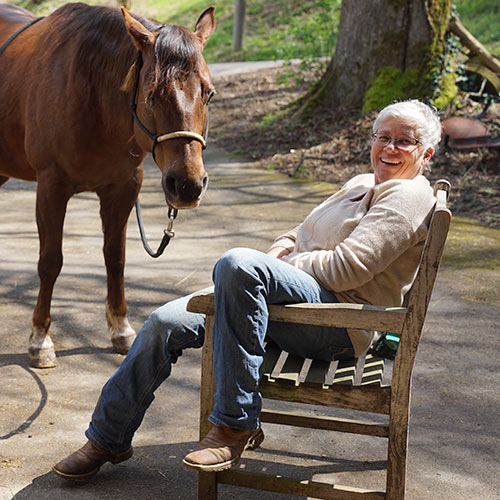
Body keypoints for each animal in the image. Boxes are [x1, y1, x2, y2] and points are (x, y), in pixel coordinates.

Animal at [0, 2, 215, 368]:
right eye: (152, 95)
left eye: (209, 93)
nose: (187, 185)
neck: (92, 98)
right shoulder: (51, 187)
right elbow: (50, 261)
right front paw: (40, 340)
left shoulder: (123, 188)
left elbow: (115, 257)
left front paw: (121, 329)